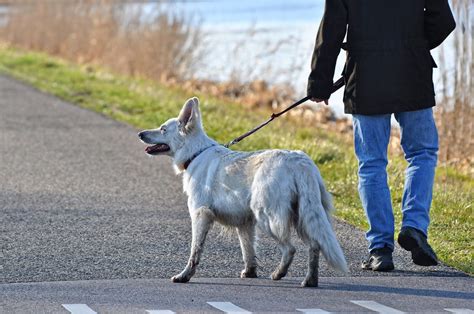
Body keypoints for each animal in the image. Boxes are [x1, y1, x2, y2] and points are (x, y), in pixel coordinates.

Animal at [137, 98, 348, 288]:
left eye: (163, 129)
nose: (140, 133)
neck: (195, 153)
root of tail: (299, 162)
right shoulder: (245, 223)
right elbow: (248, 251)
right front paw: (250, 272)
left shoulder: (200, 215)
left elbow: (195, 251)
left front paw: (185, 276)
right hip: (303, 216)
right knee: (315, 246)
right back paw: (310, 280)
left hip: (267, 217)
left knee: (290, 249)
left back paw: (279, 273)